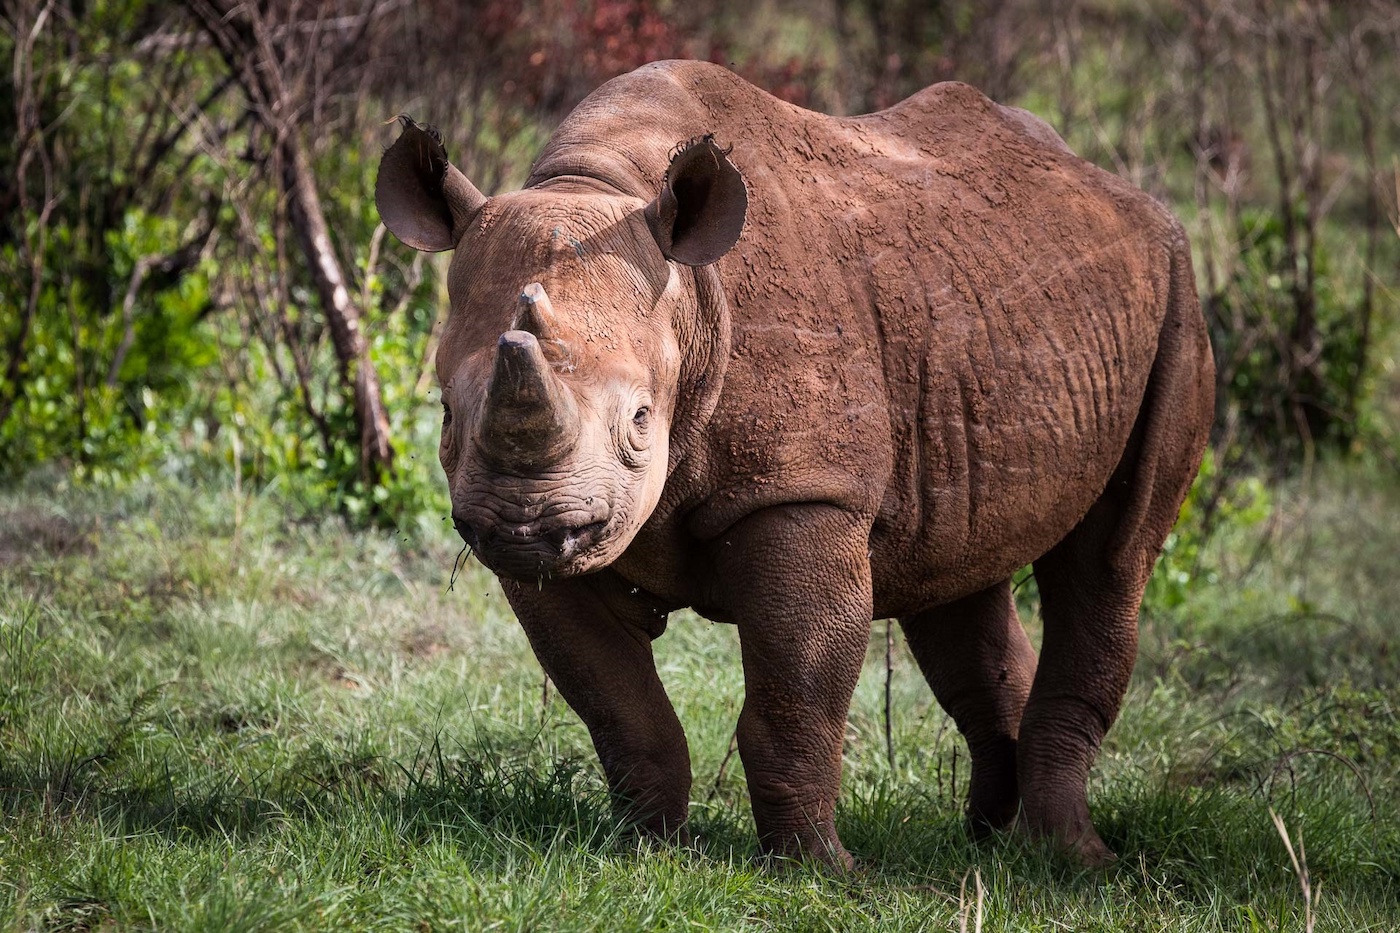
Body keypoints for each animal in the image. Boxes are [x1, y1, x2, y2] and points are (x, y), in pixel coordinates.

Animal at [374, 60, 1214, 869]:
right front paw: (646, 849)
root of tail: (1120, 190)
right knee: (958, 574)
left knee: (1110, 561)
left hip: (1176, 298)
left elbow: (796, 694)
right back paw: (985, 841)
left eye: (642, 420)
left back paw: (1073, 860)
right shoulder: (560, 536)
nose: (524, 528)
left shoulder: (804, 493)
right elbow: (621, 706)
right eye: (445, 413)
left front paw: (821, 870)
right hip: (989, 320)